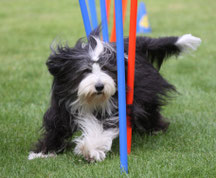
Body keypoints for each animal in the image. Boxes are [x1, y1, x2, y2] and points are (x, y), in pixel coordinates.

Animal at [28, 28, 201, 161]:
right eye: (85, 70)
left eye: (106, 69)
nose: (99, 86)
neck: (91, 100)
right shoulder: (62, 107)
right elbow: (57, 126)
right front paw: (43, 152)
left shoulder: (117, 106)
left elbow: (104, 127)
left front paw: (91, 149)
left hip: (145, 92)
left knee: (150, 110)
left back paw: (156, 128)